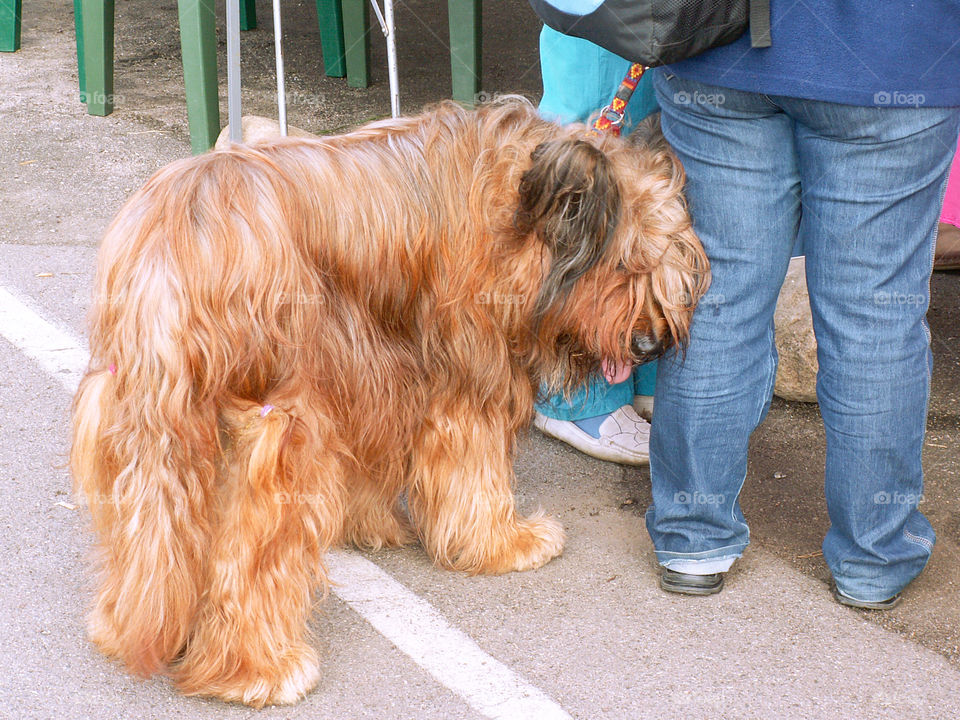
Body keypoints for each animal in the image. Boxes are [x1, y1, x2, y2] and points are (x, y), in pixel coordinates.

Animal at [71, 98, 708, 704]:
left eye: (667, 265)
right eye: (625, 265)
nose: (650, 346)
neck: (514, 210)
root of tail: (173, 241)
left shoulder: (376, 376)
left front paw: (368, 525)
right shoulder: (464, 378)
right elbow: (474, 472)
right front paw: (505, 544)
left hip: (134, 414)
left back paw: (123, 625)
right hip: (275, 424)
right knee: (254, 549)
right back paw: (261, 672)